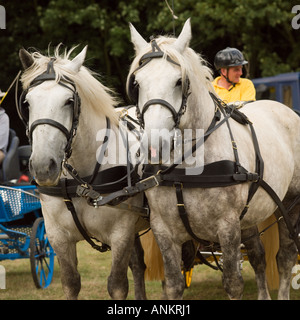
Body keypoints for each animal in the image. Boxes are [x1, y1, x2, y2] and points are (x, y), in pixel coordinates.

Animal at [18, 45, 148, 300]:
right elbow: (71, 283)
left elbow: (117, 285)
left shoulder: (121, 234)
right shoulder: (58, 237)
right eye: (27, 103)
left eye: (69, 101)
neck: (83, 181)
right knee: (139, 265)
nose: (43, 166)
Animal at [127, 19, 300, 300]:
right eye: (137, 84)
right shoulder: (163, 230)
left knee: (285, 257)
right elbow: (173, 284)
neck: (187, 171)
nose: (155, 146)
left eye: (179, 81)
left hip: (290, 203)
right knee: (258, 256)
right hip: (250, 214)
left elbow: (233, 283)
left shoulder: (227, 227)